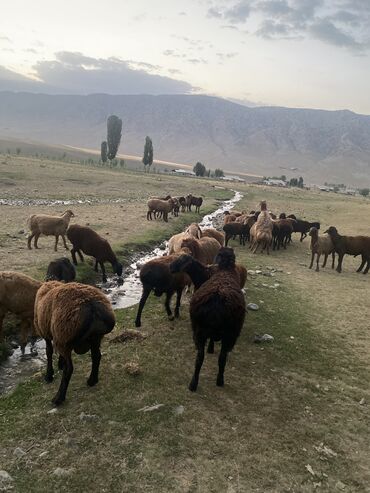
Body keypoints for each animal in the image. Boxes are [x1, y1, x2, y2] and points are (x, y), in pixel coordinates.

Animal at [188, 248, 246, 390]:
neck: (225, 270)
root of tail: (217, 297)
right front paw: (211, 348)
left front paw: (210, 348)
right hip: (230, 335)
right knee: (222, 358)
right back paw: (220, 380)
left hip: (199, 331)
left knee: (199, 358)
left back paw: (193, 384)